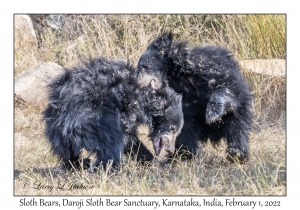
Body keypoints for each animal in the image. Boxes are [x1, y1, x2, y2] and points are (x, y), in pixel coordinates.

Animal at [42, 57, 183, 169]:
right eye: (172, 128)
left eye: (177, 131)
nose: (171, 151)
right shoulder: (129, 110)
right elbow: (129, 138)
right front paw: (153, 161)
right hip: (95, 122)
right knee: (110, 145)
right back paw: (105, 169)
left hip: (56, 130)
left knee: (67, 152)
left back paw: (77, 166)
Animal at [137, 32, 253, 163]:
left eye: (144, 66)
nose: (138, 82)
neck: (173, 76)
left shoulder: (204, 65)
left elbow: (223, 84)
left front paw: (212, 114)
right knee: (187, 133)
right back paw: (188, 155)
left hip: (238, 112)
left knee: (236, 126)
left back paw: (236, 153)